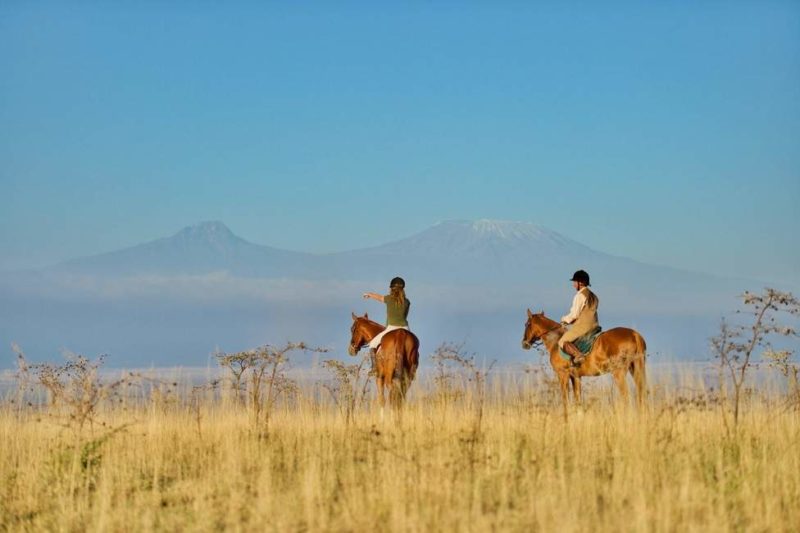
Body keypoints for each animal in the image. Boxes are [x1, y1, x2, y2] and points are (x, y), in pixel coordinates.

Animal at [520, 308, 648, 412]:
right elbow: (578, 401)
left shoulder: (562, 375)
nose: (524, 343)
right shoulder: (576, 377)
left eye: (527, 324)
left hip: (618, 372)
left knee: (626, 396)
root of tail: (634, 334)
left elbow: (565, 400)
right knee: (641, 393)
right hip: (635, 368)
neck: (556, 341)